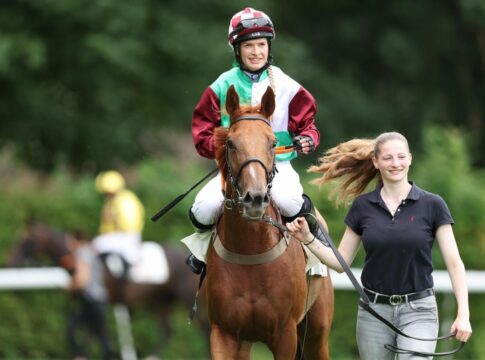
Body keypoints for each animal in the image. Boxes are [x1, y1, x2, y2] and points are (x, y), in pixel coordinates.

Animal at [7, 221, 208, 356]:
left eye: (25, 241)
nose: (11, 263)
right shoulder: (87, 306)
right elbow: (77, 330)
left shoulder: (97, 303)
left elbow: (91, 334)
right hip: (161, 300)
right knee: (167, 331)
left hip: (184, 298)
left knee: (203, 327)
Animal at [204, 85, 332, 360]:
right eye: (230, 143)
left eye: (273, 142)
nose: (255, 198)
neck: (250, 250)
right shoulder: (223, 333)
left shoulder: (285, 334)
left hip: (317, 334)